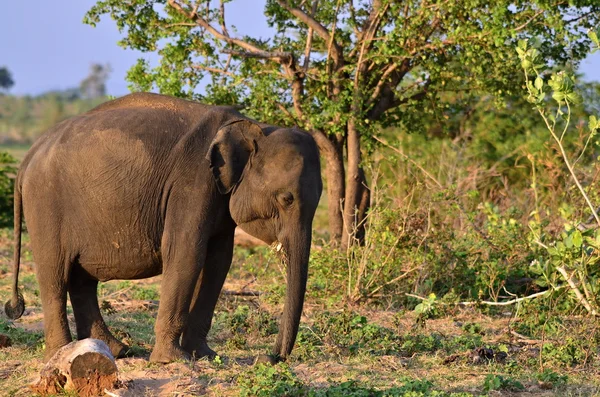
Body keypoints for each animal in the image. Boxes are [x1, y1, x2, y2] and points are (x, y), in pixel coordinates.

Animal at [3, 92, 324, 362]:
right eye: (286, 198)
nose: (270, 357)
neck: (255, 126)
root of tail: (30, 154)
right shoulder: (193, 183)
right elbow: (186, 253)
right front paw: (174, 361)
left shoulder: (218, 197)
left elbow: (219, 261)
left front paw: (205, 356)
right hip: (45, 203)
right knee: (54, 274)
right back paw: (60, 354)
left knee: (82, 279)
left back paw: (116, 350)